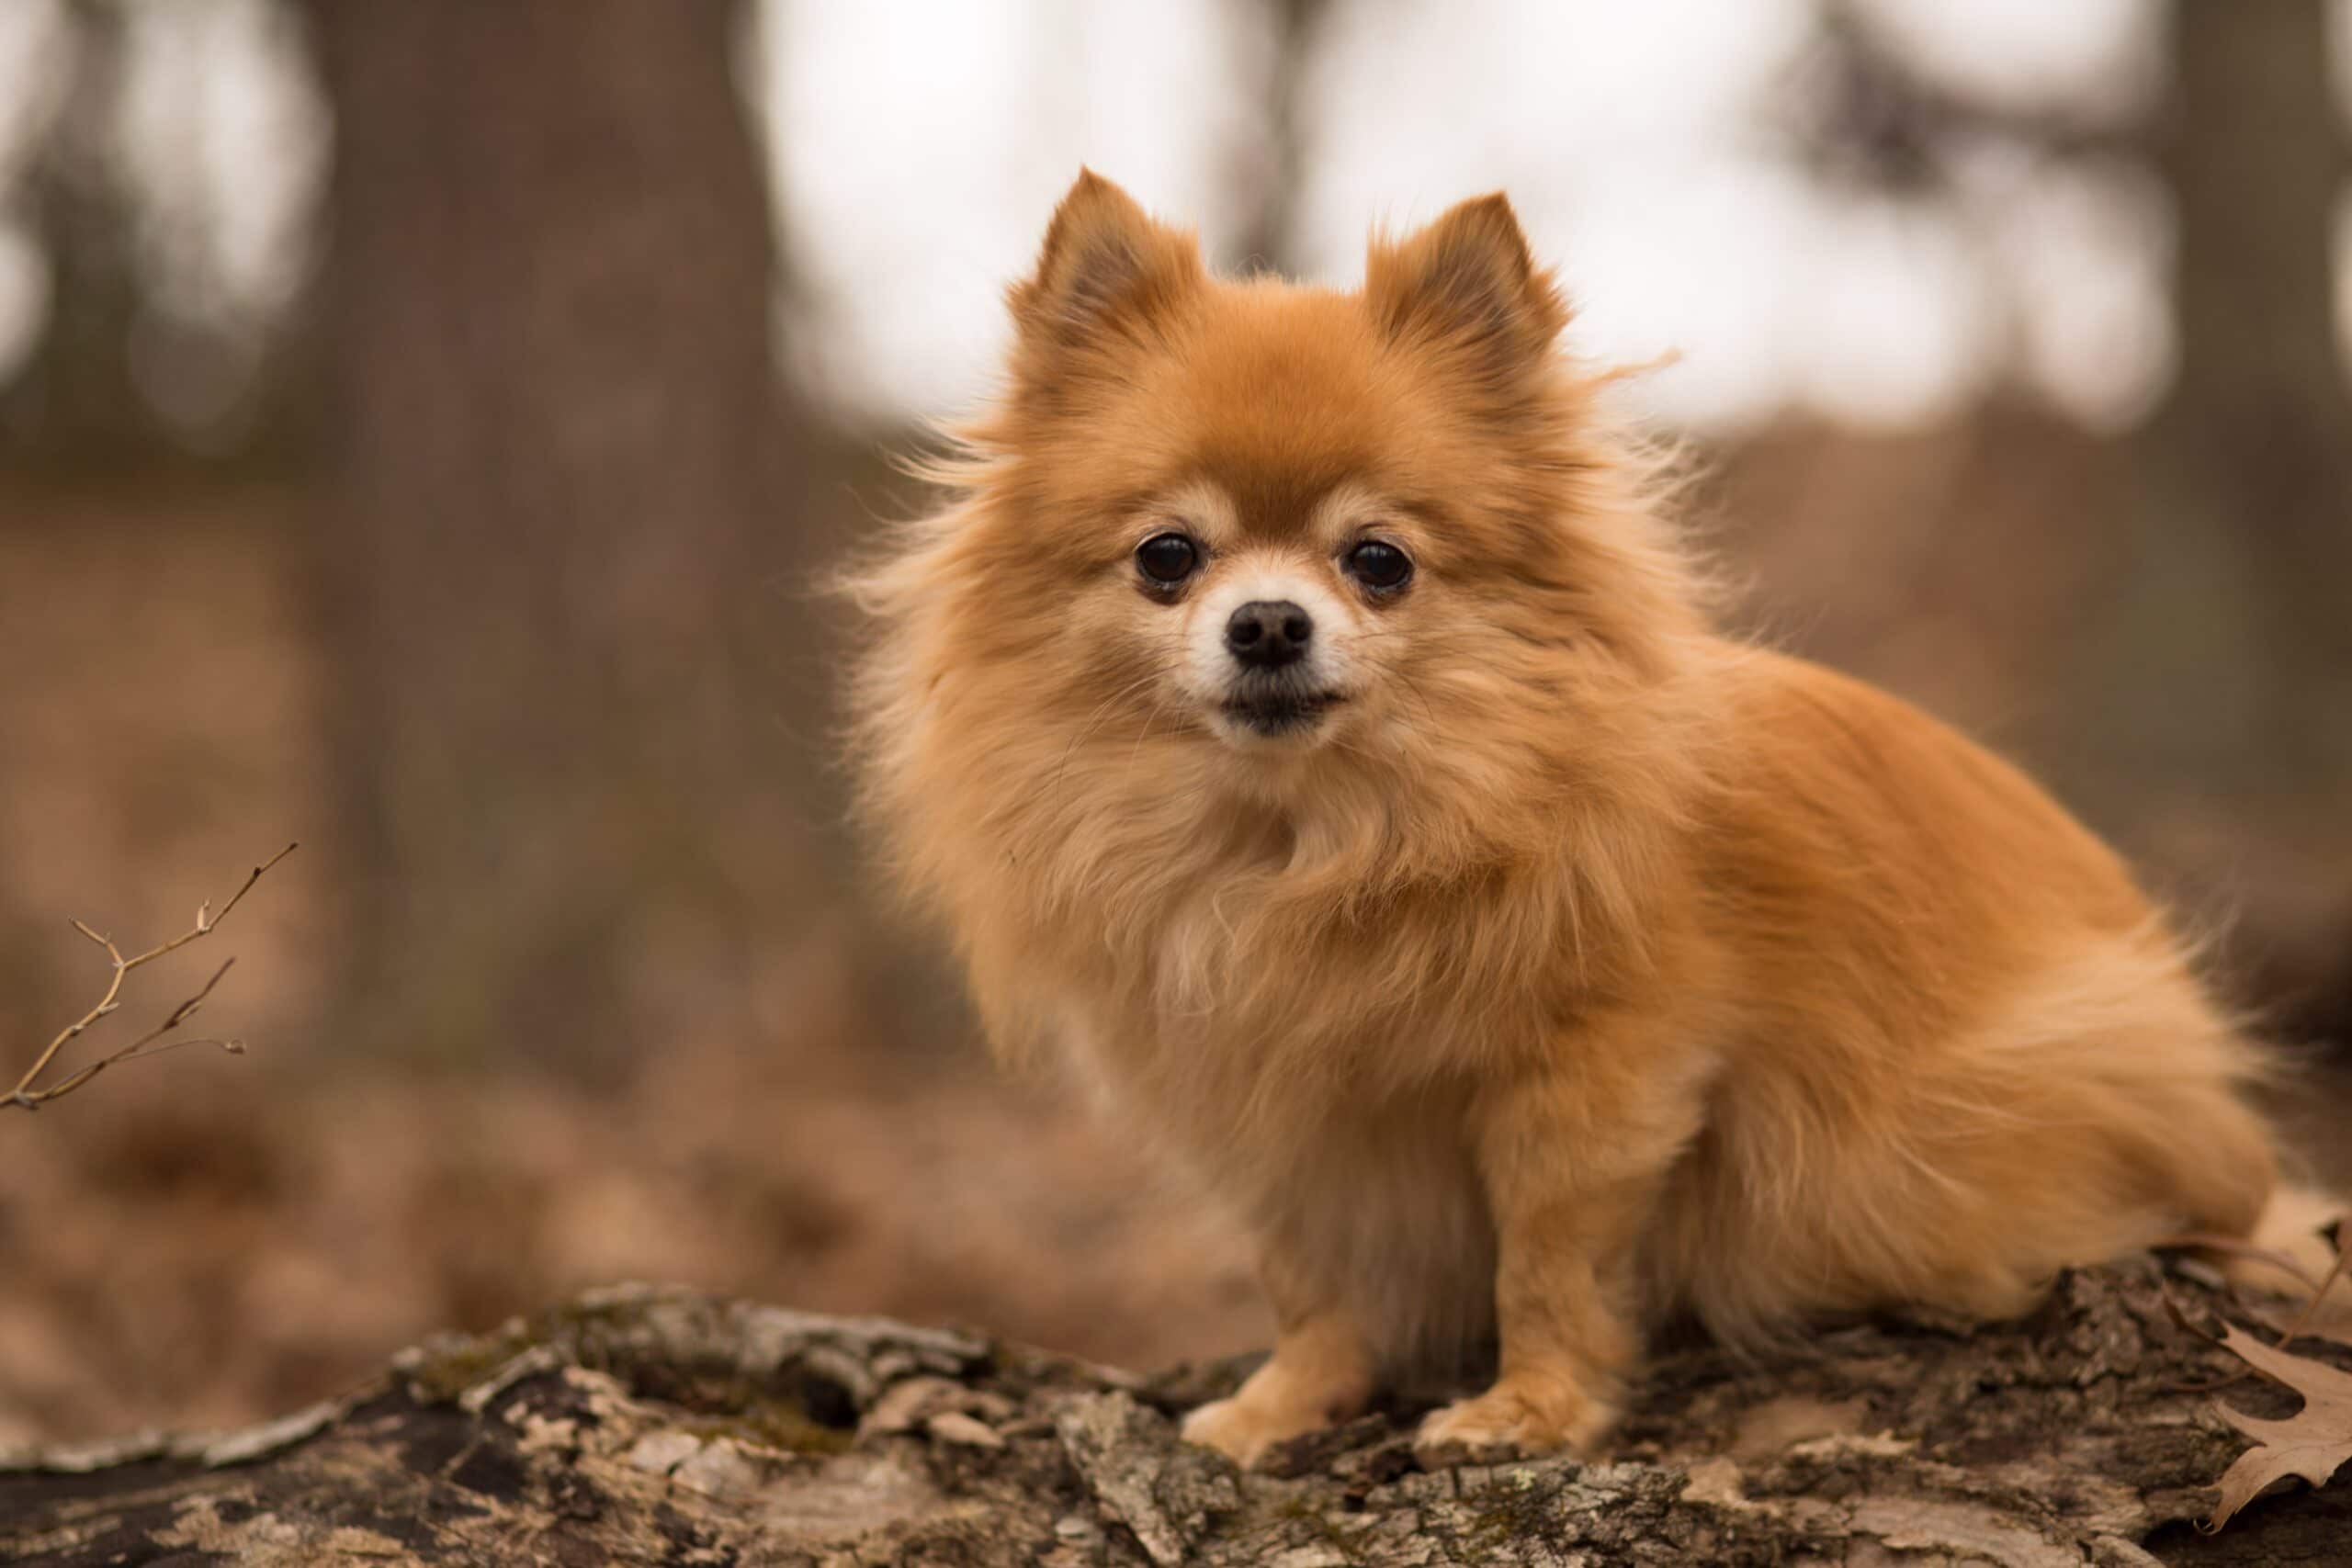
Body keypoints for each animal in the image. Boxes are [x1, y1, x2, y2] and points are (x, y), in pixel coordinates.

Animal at [846, 171, 2333, 1476]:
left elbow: (1547, 1261)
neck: (1310, 838)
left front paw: (1531, 1409)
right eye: (1169, 558)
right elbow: (1311, 1276)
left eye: (1377, 562)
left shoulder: (1599, 1078)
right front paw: (1285, 1403)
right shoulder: (1283, 1124)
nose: (1267, 622)